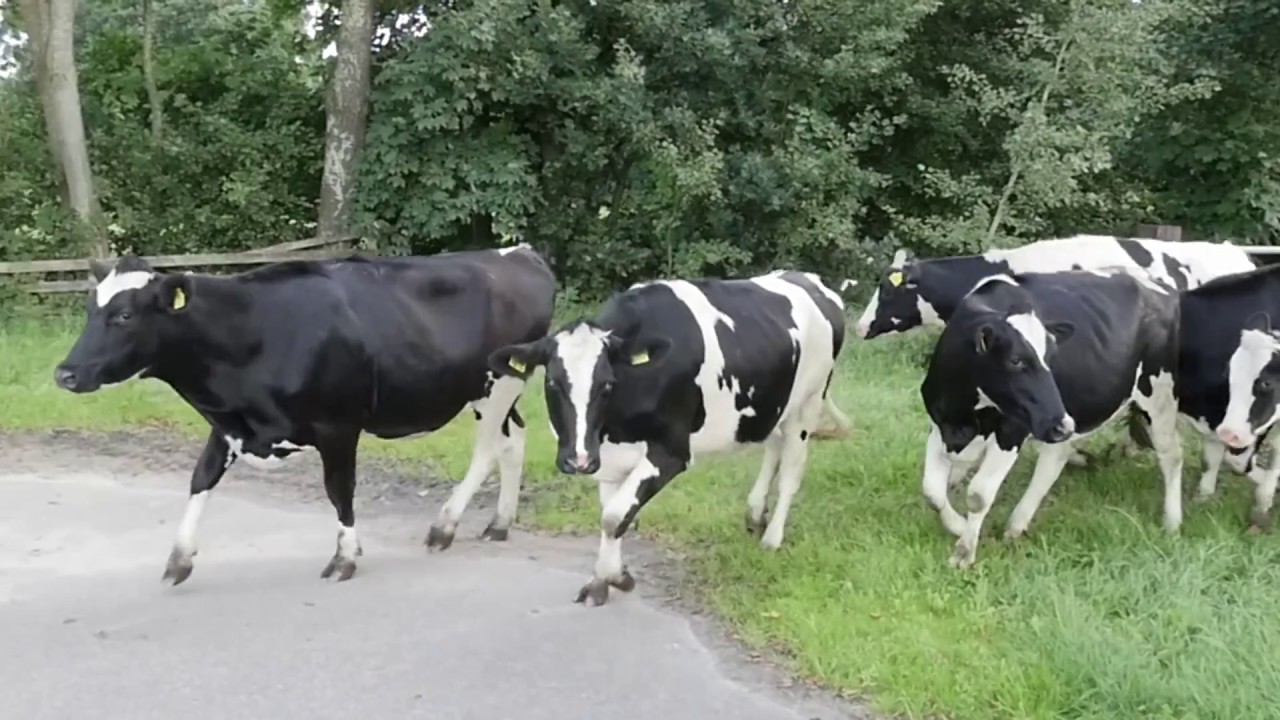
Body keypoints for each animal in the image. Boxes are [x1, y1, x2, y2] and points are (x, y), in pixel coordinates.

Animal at [53, 245, 556, 585]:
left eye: (124, 315)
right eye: (90, 309)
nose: (65, 373)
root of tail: (519, 253)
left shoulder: (338, 425)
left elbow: (339, 490)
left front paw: (345, 556)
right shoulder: (228, 425)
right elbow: (201, 478)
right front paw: (178, 559)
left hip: (497, 385)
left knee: (488, 450)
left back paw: (443, 526)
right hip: (495, 393)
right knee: (513, 440)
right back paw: (498, 523)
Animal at [487, 270, 847, 606]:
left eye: (606, 384)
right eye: (552, 383)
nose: (578, 460)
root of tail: (808, 279)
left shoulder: (671, 452)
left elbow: (614, 516)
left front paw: (610, 578)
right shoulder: (606, 455)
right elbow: (612, 513)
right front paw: (610, 577)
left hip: (808, 404)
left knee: (791, 471)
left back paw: (772, 538)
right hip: (772, 408)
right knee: (774, 448)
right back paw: (756, 514)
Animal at [919, 269, 1184, 568]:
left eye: (1052, 356)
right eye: (1016, 360)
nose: (1063, 423)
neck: (963, 416)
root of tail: (1162, 286)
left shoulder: (1011, 431)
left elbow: (978, 494)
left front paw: (964, 551)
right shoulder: (939, 425)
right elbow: (931, 490)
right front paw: (958, 525)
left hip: (1160, 396)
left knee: (1172, 455)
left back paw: (1172, 521)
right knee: (1053, 462)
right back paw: (1017, 524)